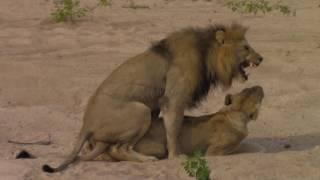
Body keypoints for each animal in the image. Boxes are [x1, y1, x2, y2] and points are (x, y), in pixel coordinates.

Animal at [42, 23, 262, 172]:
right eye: (246, 48)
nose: (261, 58)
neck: (207, 55)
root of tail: (85, 124)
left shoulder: (160, 104)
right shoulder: (174, 99)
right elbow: (173, 130)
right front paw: (176, 156)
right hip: (141, 110)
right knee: (121, 148)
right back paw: (147, 160)